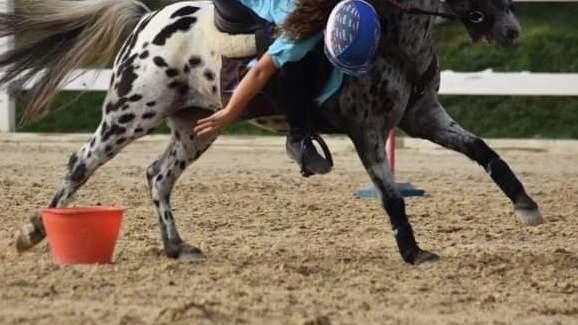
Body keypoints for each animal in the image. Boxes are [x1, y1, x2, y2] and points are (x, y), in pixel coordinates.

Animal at [2, 0, 536, 264]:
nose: (511, 31)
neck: (393, 37)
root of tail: (149, 18)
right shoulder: (368, 130)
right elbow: (390, 196)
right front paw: (414, 252)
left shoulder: (424, 118)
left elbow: (486, 153)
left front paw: (527, 206)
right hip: (131, 112)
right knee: (81, 164)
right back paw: (34, 231)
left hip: (196, 127)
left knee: (158, 176)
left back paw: (177, 246)